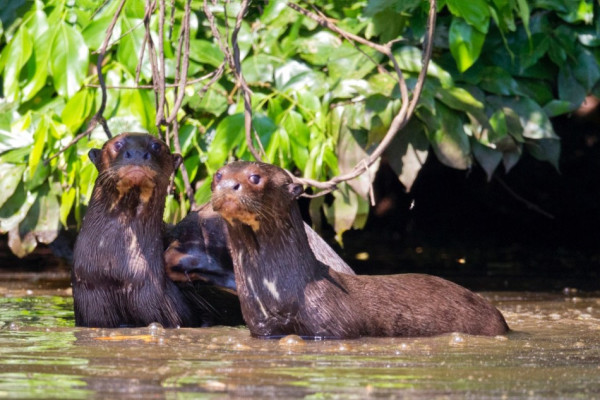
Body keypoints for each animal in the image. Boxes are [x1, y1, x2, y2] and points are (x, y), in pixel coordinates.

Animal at [211, 161, 510, 340]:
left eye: (255, 177)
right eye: (218, 175)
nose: (227, 185)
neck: (279, 294)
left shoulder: (331, 328)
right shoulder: (263, 328)